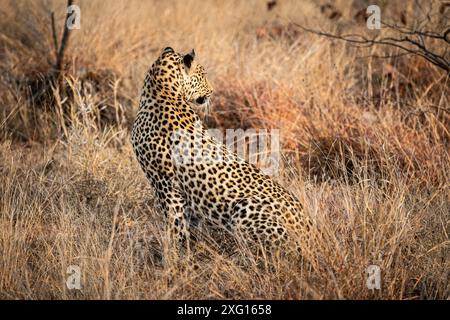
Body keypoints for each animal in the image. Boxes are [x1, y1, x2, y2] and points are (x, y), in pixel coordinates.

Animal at [130, 45, 312, 255]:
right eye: (203, 75)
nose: (212, 91)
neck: (163, 92)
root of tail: (311, 229)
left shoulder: (166, 185)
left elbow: (175, 224)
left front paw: (174, 253)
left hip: (244, 208)